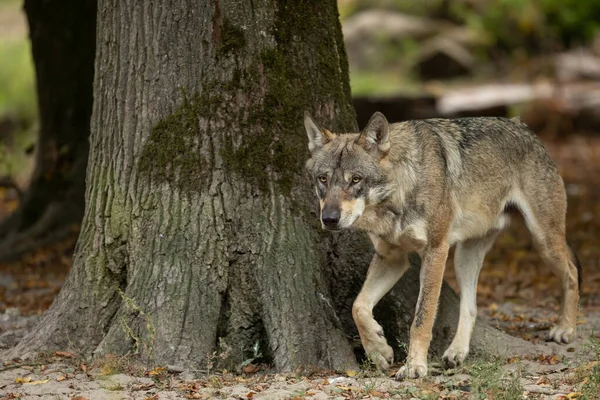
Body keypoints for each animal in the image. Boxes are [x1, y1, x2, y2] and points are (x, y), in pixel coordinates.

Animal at [304, 111, 580, 378]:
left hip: (542, 240)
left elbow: (421, 319)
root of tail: (520, 125)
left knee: (572, 272)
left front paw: (414, 366)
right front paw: (379, 351)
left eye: (356, 180)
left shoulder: (435, 251)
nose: (329, 219)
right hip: (464, 258)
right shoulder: (392, 258)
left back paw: (565, 328)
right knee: (471, 307)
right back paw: (456, 352)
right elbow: (358, 306)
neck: (400, 192)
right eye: (323, 179)